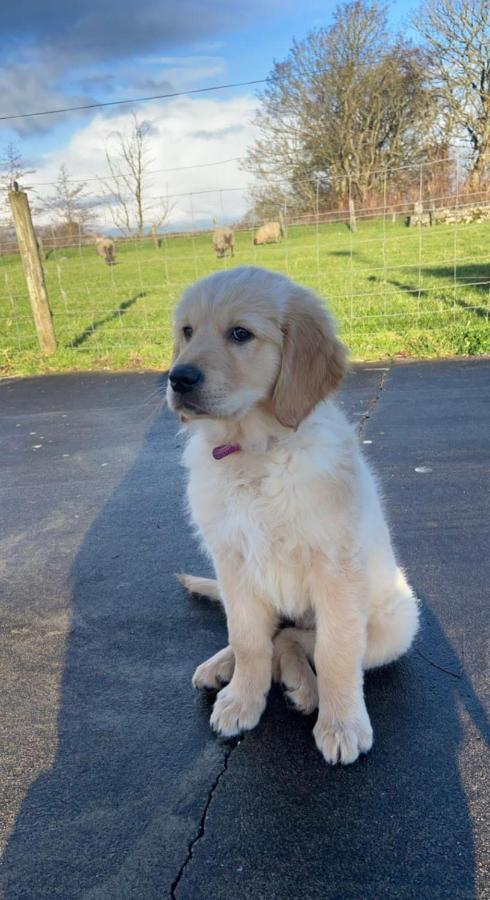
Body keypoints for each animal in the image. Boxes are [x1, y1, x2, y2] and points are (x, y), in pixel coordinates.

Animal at [167, 268, 420, 768]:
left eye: (240, 334)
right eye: (186, 331)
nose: (177, 377)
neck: (255, 452)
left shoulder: (335, 568)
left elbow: (337, 650)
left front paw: (341, 725)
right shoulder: (232, 562)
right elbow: (247, 637)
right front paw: (242, 698)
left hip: (395, 624)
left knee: (297, 639)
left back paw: (304, 687)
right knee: (270, 634)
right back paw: (224, 666)